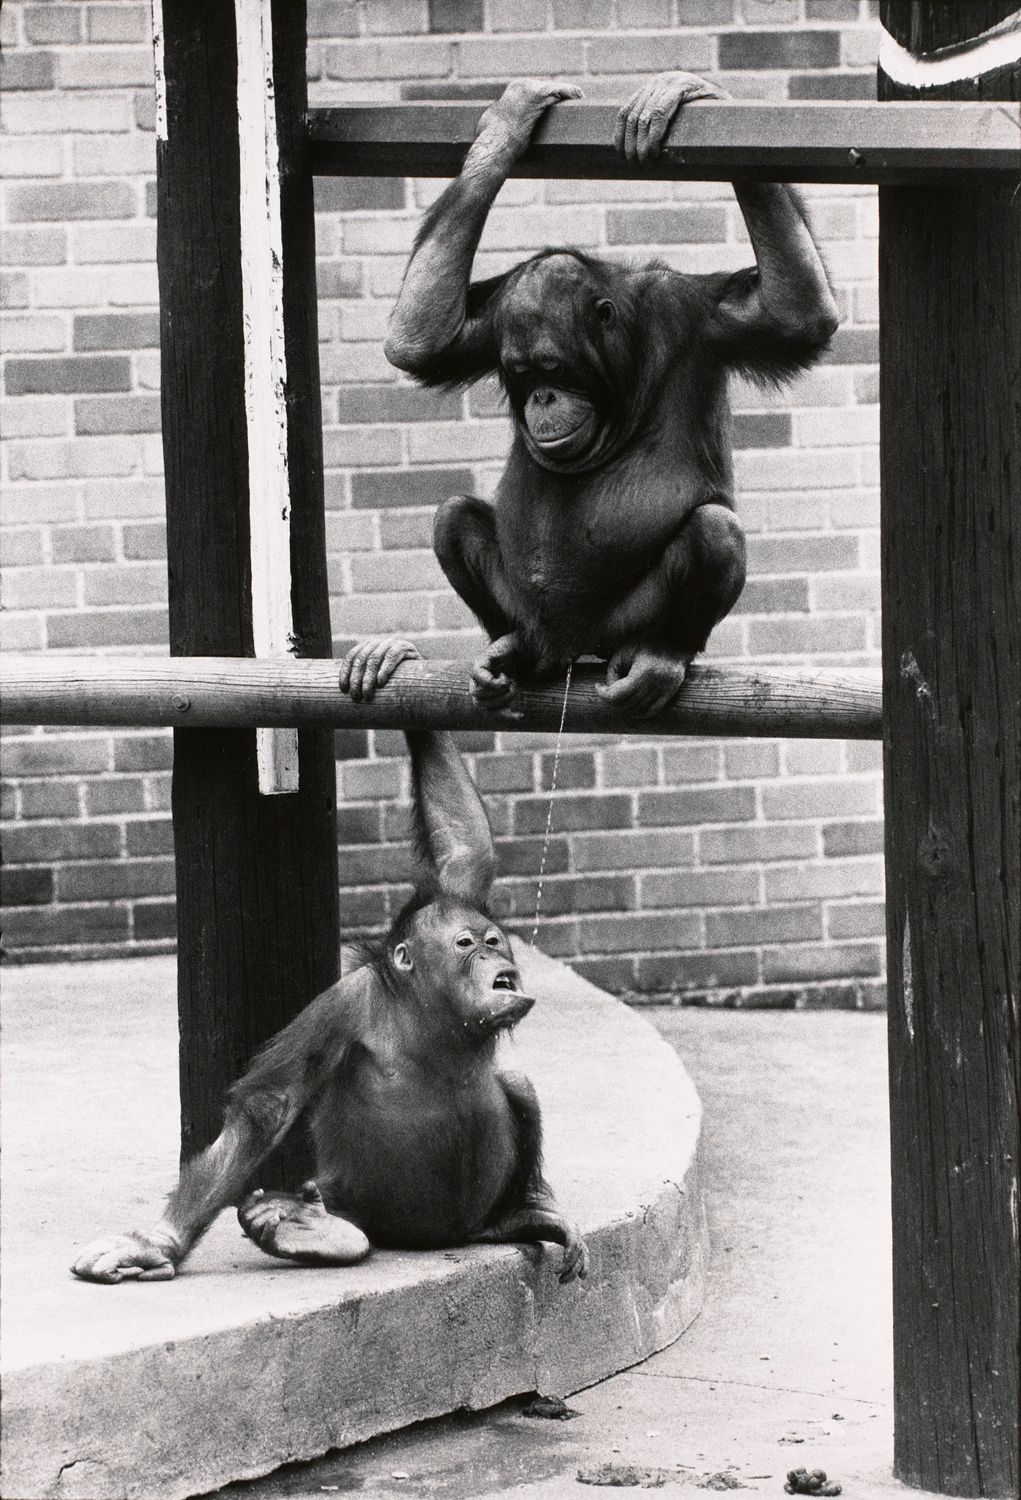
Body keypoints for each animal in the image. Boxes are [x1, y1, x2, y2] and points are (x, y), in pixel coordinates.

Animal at [70, 638, 587, 1286]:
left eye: (494, 941)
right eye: (466, 945)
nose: (494, 956)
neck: (427, 1008)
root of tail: (440, 1238)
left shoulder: (460, 890)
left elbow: (466, 850)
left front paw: (393, 661)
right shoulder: (344, 1003)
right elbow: (269, 1106)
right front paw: (152, 1243)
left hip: (473, 1216)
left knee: (514, 1084)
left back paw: (524, 1215)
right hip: (357, 1200)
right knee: (350, 1222)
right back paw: (303, 1226)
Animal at [384, 72, 839, 717]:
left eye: (553, 369)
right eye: (522, 374)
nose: (543, 399)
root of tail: (574, 649)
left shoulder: (699, 314)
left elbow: (794, 309)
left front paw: (685, 92)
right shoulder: (492, 323)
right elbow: (421, 340)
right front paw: (504, 130)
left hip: (623, 625)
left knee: (715, 533)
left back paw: (660, 655)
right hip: (534, 617)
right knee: (453, 518)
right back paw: (516, 647)